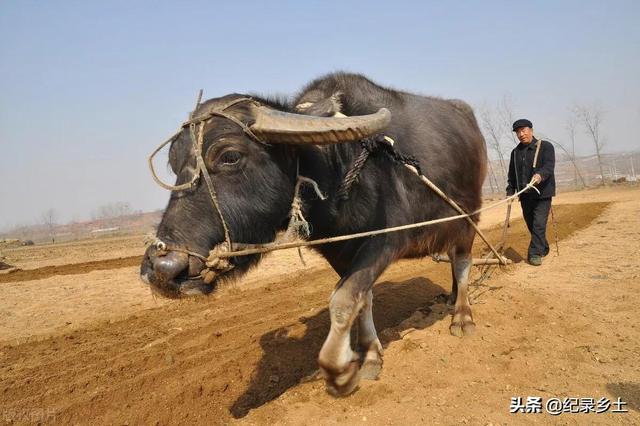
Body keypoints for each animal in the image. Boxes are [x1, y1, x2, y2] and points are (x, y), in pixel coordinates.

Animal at [142, 72, 488, 396]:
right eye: (174, 164)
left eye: (229, 156)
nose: (162, 267)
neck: (339, 167)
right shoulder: (339, 252)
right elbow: (362, 298)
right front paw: (370, 355)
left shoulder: (388, 239)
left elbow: (344, 299)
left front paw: (339, 370)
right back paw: (450, 298)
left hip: (468, 218)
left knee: (462, 261)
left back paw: (462, 317)